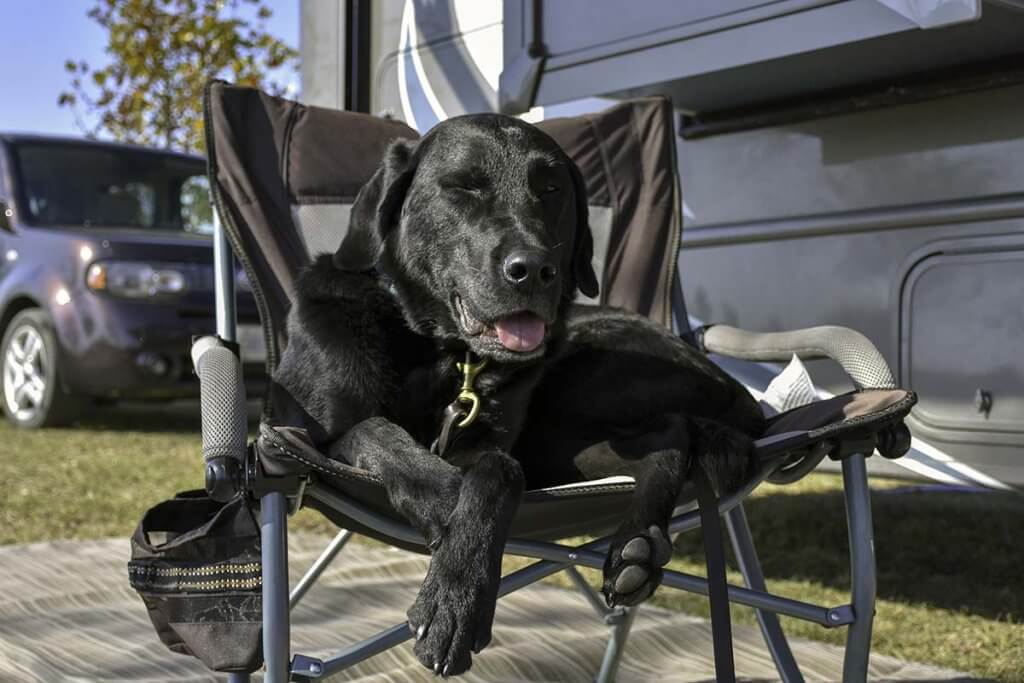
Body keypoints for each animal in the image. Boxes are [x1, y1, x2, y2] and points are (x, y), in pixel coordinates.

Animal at [268, 113, 765, 679]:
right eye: (463, 187)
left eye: (551, 190)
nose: (533, 269)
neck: (442, 352)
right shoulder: (310, 433)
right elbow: (376, 430)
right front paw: (443, 496)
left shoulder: (486, 445)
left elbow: (500, 472)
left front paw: (454, 602)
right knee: (663, 437)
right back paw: (638, 546)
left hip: (574, 390)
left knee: (670, 432)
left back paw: (637, 547)